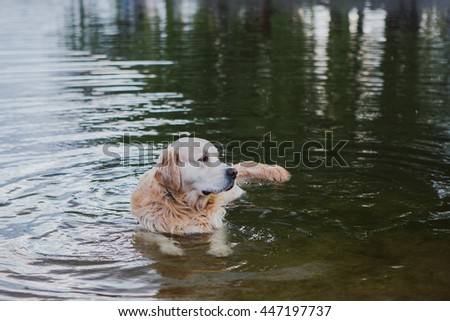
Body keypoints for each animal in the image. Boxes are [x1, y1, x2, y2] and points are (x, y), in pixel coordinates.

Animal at [132, 137, 290, 255]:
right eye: (203, 158)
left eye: (217, 157)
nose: (233, 172)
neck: (187, 207)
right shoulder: (146, 228)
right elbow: (161, 239)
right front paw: (172, 250)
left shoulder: (217, 225)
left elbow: (217, 238)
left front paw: (219, 250)